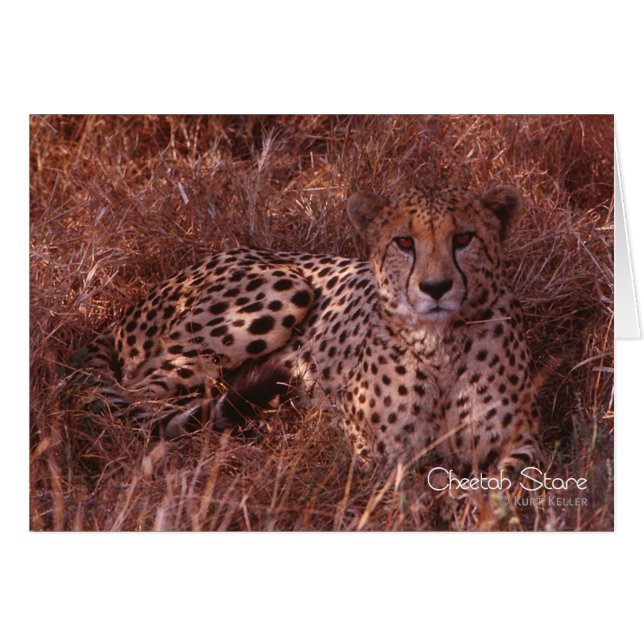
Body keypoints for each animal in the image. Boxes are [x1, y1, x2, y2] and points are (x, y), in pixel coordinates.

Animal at [82, 184, 542, 474]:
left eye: (463, 238)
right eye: (404, 242)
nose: (435, 288)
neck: (440, 344)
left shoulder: (524, 442)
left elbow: (511, 484)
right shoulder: (375, 451)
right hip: (285, 288)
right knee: (139, 398)